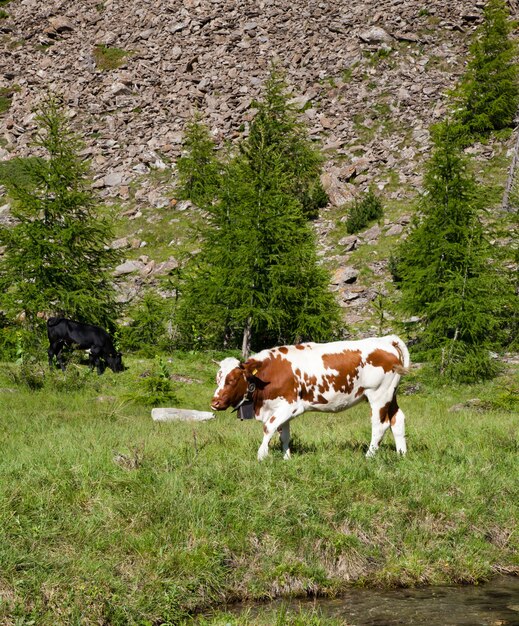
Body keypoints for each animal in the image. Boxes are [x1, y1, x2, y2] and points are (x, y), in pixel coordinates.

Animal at [211, 334, 410, 460]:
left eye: (232, 379)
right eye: (217, 378)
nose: (215, 402)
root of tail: (385, 340)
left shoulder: (290, 405)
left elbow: (269, 428)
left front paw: (262, 455)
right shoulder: (279, 408)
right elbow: (284, 434)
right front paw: (287, 458)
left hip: (379, 395)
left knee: (380, 425)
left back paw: (369, 456)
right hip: (390, 394)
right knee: (397, 420)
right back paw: (401, 455)